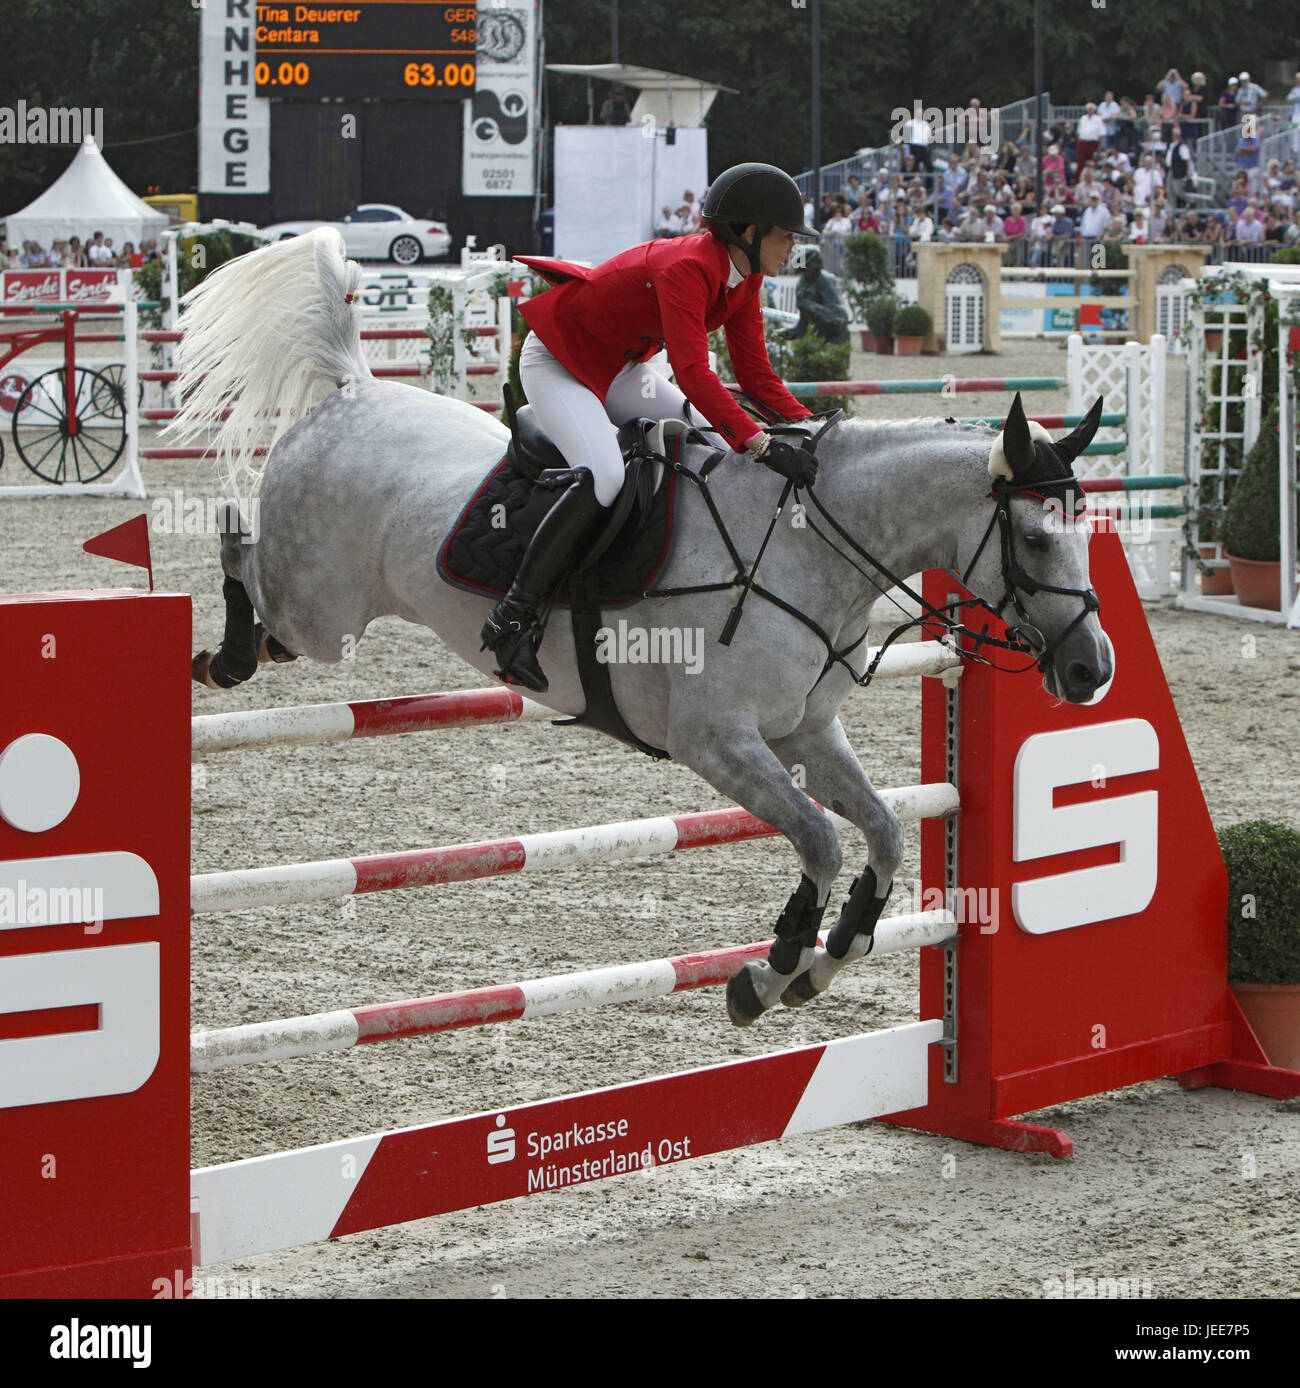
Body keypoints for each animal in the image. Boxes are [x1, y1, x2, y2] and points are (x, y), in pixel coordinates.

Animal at [167, 230, 1109, 1032]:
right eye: (1034, 540)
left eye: (1087, 530)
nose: (1092, 671)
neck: (806, 547)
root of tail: (356, 389)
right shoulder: (714, 738)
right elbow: (820, 838)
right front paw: (775, 966)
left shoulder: (805, 730)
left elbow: (879, 832)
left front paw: (827, 956)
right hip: (319, 610)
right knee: (239, 543)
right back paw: (222, 655)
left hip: (323, 615)